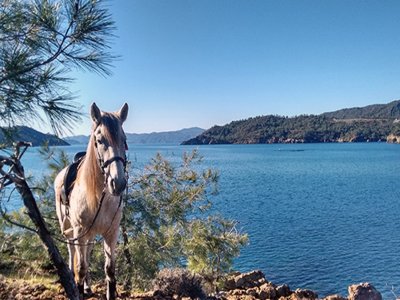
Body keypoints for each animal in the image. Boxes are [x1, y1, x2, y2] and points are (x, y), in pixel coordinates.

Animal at [54, 103, 128, 300]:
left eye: (124, 140)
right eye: (100, 140)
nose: (118, 183)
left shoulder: (111, 233)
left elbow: (109, 270)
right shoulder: (80, 230)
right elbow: (80, 267)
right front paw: (78, 288)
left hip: (90, 234)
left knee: (86, 253)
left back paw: (87, 286)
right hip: (68, 228)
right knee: (73, 252)